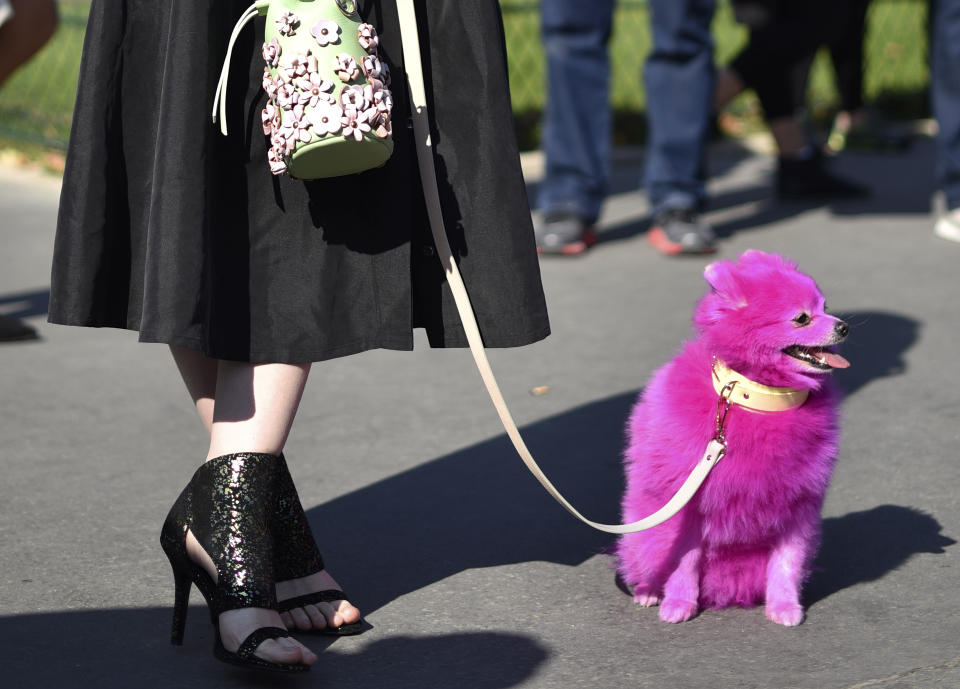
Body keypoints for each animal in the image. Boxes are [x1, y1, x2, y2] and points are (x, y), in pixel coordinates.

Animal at [616, 250, 848, 628]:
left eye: (826, 307)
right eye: (802, 318)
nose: (843, 326)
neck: (756, 398)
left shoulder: (798, 507)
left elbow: (787, 564)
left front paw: (785, 606)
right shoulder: (691, 512)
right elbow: (684, 564)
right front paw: (679, 603)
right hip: (647, 529)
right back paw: (649, 590)